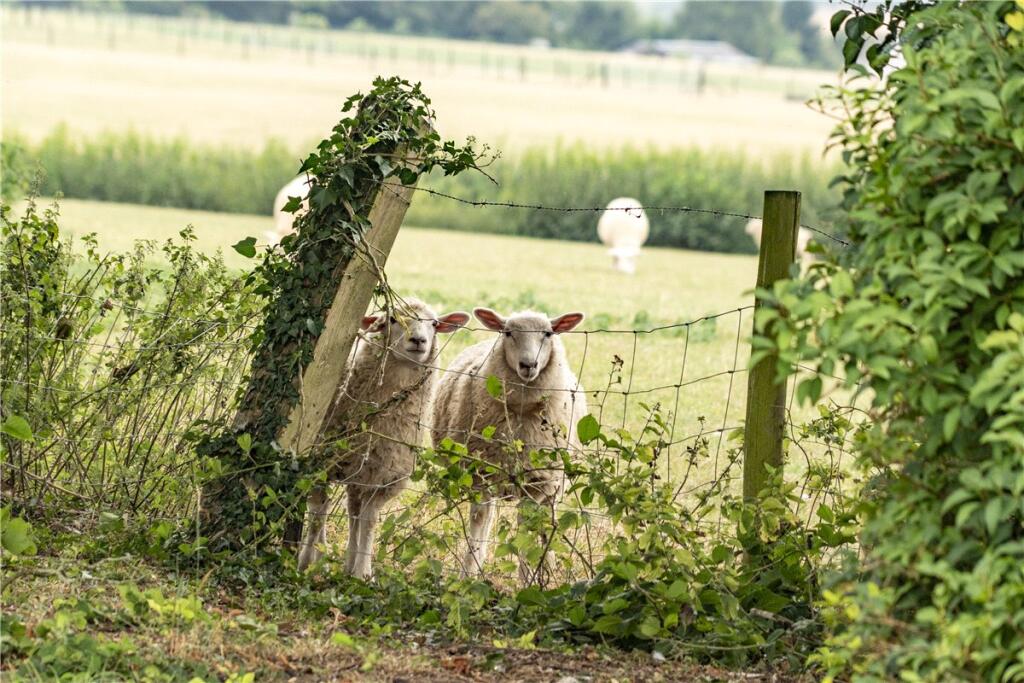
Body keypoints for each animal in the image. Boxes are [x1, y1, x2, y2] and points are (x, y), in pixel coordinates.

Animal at [297, 297, 469, 578]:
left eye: (434, 323)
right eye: (392, 319)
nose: (418, 340)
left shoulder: (386, 478)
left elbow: (368, 521)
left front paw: (362, 572)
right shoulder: (318, 465)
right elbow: (318, 514)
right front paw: (306, 563)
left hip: (360, 471)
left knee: (353, 511)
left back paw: (347, 561)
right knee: (322, 508)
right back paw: (320, 553)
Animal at [431, 308, 589, 584]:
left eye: (548, 334)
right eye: (508, 333)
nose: (528, 365)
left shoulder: (537, 484)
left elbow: (526, 526)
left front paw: (528, 579)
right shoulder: (480, 473)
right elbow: (479, 520)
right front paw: (468, 574)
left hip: (552, 484)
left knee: (546, 521)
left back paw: (548, 566)